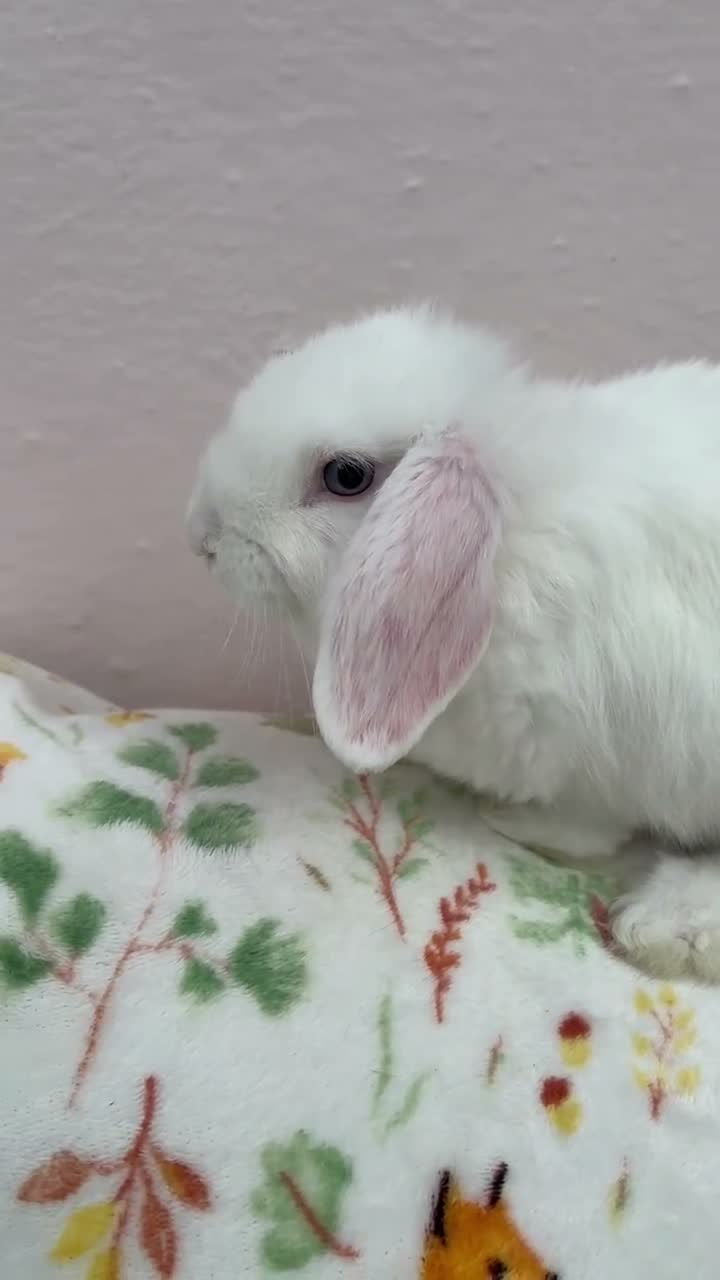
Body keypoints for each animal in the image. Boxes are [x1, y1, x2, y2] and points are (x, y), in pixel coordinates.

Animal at [187, 303, 720, 982]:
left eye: (346, 475)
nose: (201, 536)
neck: (508, 543)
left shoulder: (605, 756)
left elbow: (588, 826)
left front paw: (515, 823)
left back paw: (665, 924)